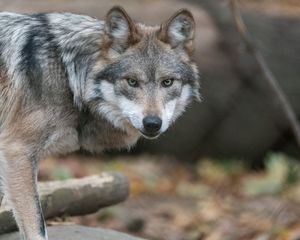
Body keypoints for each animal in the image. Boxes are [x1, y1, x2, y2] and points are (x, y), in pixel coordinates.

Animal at [0, 5, 200, 240]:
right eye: (132, 82)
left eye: (167, 82)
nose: (152, 123)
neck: (68, 75)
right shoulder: (17, 152)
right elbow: (37, 228)